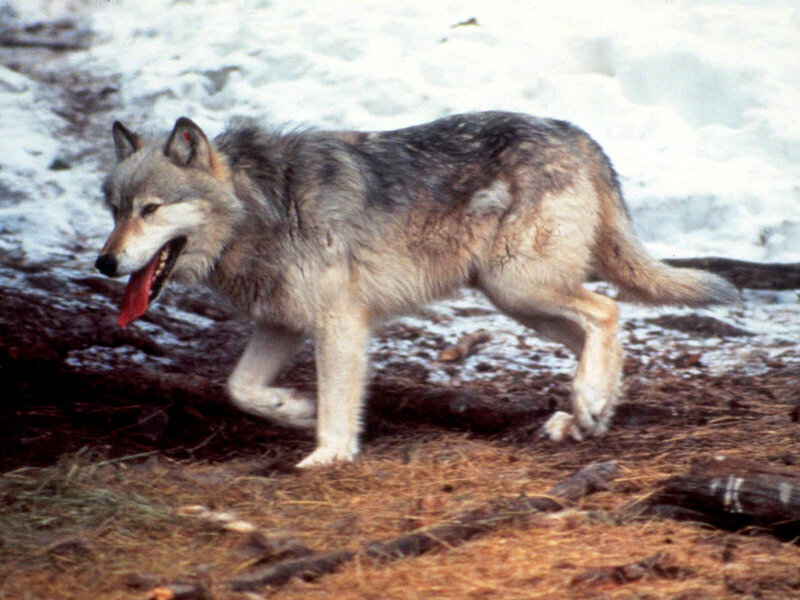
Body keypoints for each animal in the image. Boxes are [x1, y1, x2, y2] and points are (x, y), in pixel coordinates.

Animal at [94, 111, 737, 467]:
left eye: (151, 210)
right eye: (115, 209)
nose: (104, 262)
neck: (263, 207)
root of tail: (576, 134)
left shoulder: (340, 324)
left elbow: (337, 405)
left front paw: (329, 455)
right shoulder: (282, 323)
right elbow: (240, 389)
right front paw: (295, 411)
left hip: (518, 286)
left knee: (607, 311)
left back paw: (589, 403)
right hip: (516, 298)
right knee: (598, 331)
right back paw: (585, 415)